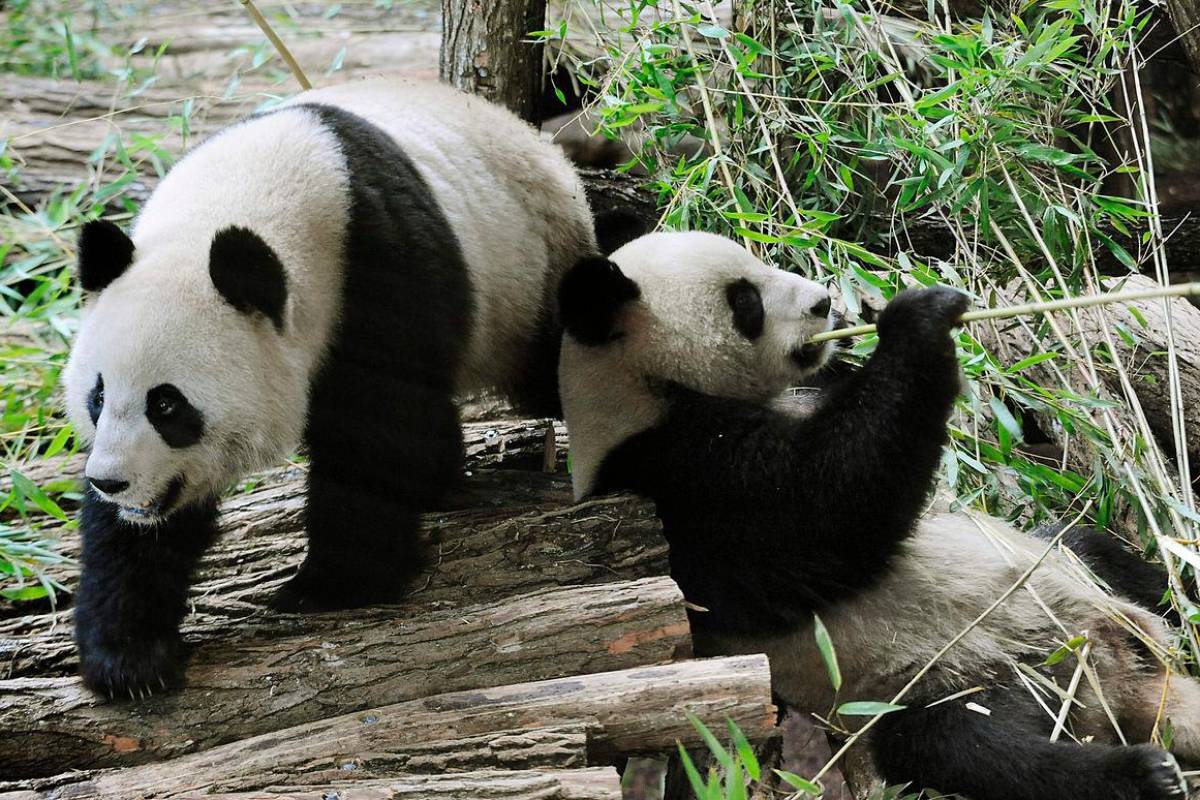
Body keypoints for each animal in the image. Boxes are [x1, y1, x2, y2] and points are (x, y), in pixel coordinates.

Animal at [63, 79, 596, 698]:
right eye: (98, 397)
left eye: (167, 405)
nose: (111, 481)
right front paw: (130, 657)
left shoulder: (375, 264)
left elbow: (377, 432)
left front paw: (331, 586)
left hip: (532, 271)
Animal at [556, 231, 1196, 800]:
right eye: (745, 301)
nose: (823, 302)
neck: (642, 390)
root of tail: (1120, 682)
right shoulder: (677, 484)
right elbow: (826, 510)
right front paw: (916, 318)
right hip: (958, 675)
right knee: (962, 744)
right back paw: (1140, 774)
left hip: (1068, 575)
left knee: (1100, 552)